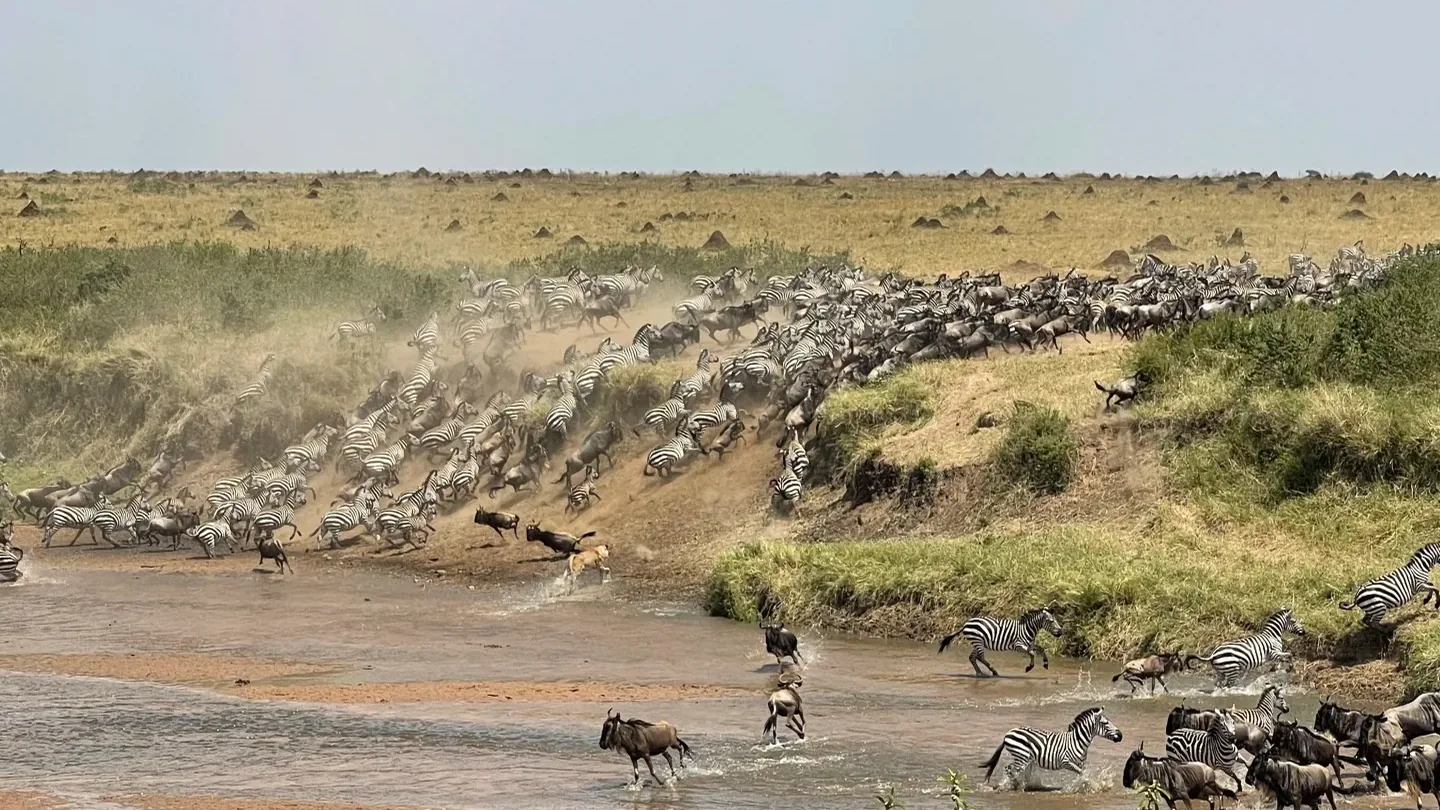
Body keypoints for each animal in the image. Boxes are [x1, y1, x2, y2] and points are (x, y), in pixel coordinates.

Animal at [980, 707, 1123, 789]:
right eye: (1105, 723)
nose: (1120, 736)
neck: (1077, 741)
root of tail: (1008, 733)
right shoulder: (1066, 762)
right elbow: (1084, 774)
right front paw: (1094, 786)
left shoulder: (1080, 763)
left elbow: (1084, 773)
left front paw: (1087, 785)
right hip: (1021, 757)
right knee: (1009, 769)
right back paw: (1014, 786)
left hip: (1023, 758)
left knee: (1011, 769)